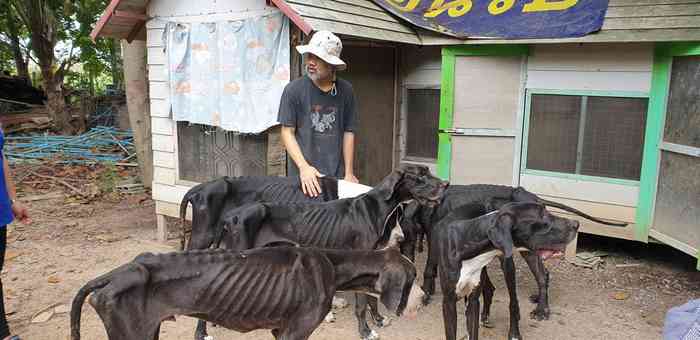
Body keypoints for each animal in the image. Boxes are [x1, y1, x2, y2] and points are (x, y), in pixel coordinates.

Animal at [221, 165, 446, 340]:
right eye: (421, 175)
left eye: (399, 218)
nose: (446, 184)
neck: (376, 207)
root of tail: (231, 216)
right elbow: (362, 304)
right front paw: (365, 332)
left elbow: (372, 299)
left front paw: (379, 319)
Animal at [438, 202, 580, 340]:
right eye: (542, 215)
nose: (577, 224)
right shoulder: (449, 302)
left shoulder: (473, 301)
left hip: (508, 264)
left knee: (514, 300)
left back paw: (516, 331)